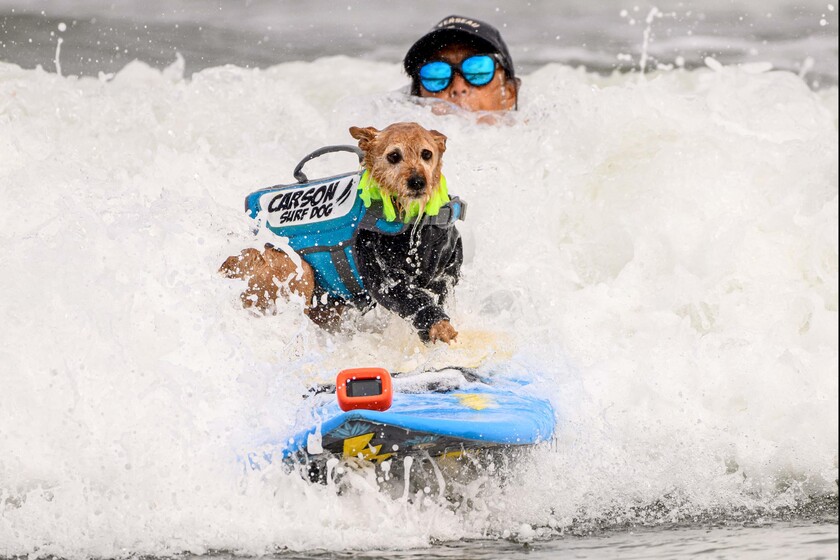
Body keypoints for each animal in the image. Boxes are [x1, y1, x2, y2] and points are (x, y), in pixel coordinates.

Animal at [220, 121, 462, 346]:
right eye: (394, 156)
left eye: (426, 154)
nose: (418, 182)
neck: (414, 223)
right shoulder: (383, 277)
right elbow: (411, 299)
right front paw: (441, 328)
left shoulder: (445, 274)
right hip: (297, 271)